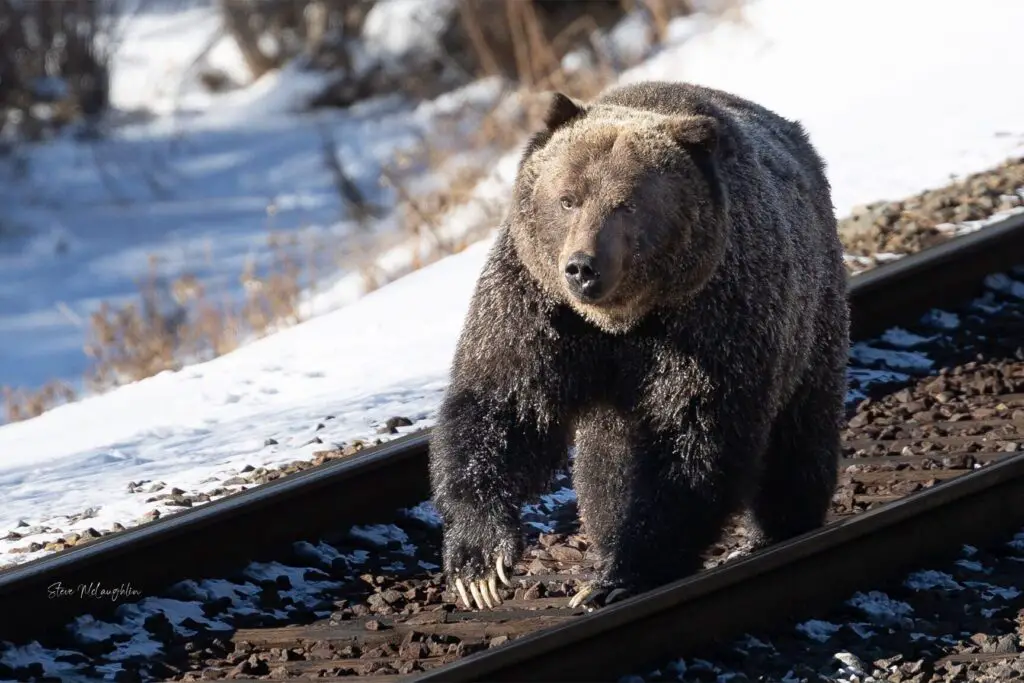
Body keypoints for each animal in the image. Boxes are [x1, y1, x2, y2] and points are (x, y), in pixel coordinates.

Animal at [428, 78, 851, 610]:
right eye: (567, 199)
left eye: (626, 204)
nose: (582, 267)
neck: (623, 321)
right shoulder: (535, 307)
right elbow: (504, 407)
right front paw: (480, 565)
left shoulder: (712, 319)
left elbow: (693, 438)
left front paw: (619, 576)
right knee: (604, 465)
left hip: (812, 310)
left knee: (801, 423)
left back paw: (779, 524)